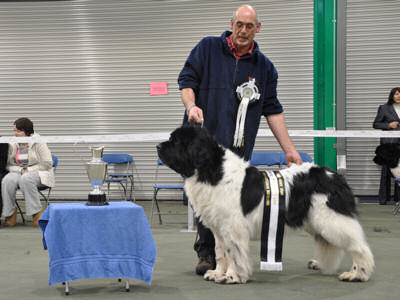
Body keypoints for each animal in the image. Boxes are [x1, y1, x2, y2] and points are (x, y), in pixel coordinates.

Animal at [157, 126, 376, 284]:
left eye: (175, 141)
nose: (158, 147)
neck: (211, 171)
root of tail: (334, 175)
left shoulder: (233, 228)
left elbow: (233, 253)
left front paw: (232, 276)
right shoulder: (219, 229)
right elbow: (220, 252)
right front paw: (217, 273)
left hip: (330, 220)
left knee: (359, 247)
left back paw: (357, 274)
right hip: (314, 221)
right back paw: (320, 263)